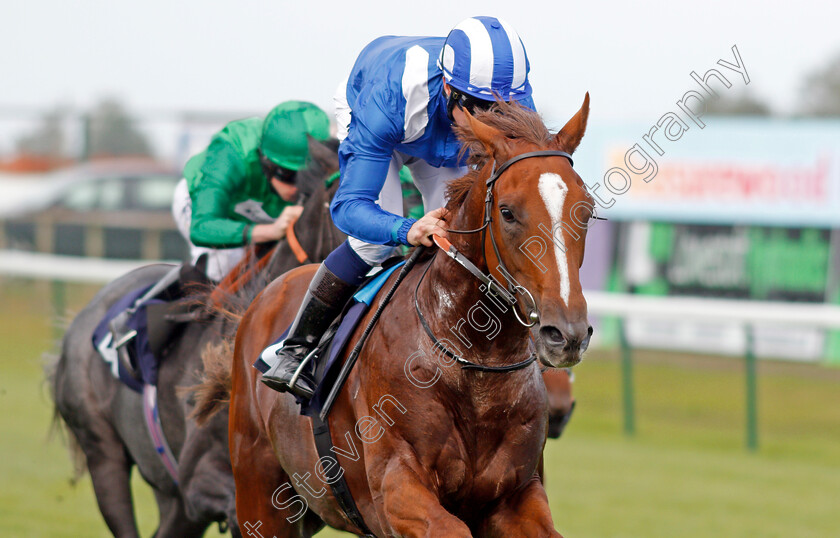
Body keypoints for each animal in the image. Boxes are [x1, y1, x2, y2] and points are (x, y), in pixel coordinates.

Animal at [220, 97, 592, 536]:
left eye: (587, 211)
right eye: (507, 212)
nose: (565, 334)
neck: (475, 363)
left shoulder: (518, 494)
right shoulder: (397, 488)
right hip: (260, 497)